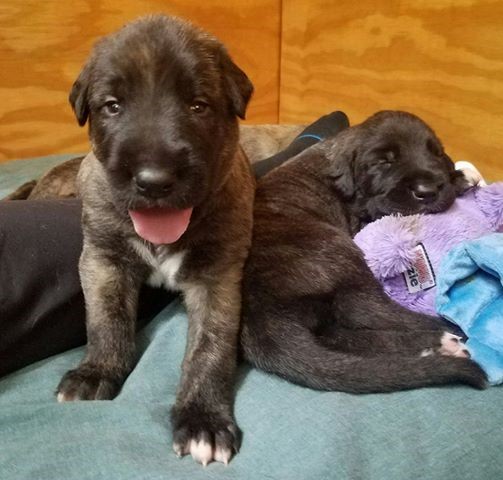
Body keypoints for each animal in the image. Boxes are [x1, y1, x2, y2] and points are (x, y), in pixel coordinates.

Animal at [55, 15, 256, 464]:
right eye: (113, 106)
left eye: (198, 106)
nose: (154, 181)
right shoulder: (102, 259)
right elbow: (106, 320)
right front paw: (98, 371)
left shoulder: (218, 276)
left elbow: (210, 348)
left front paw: (203, 420)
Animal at [240, 111, 488, 394]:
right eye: (383, 161)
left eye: (436, 153)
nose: (427, 191)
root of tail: (259, 316)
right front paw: (462, 177)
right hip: (343, 256)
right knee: (376, 312)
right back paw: (444, 338)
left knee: (338, 336)